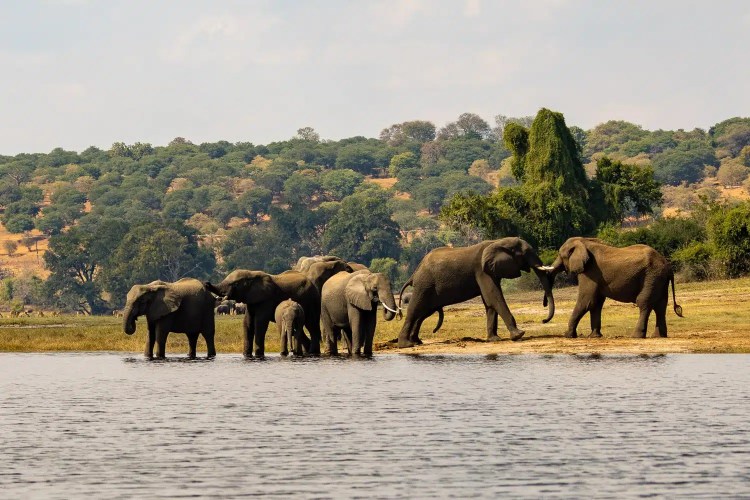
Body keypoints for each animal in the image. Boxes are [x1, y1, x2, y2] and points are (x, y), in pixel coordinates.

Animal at [397, 237, 555, 348]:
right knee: (415, 310)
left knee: (423, 313)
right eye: (525, 253)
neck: (497, 241)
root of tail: (414, 274)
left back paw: (417, 342)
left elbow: (489, 302)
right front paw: (519, 335)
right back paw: (406, 345)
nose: (543, 320)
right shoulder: (481, 271)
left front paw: (494, 339)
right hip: (424, 285)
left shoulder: (490, 271)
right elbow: (494, 297)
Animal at [543, 237, 683, 338]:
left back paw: (636, 336)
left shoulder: (590, 273)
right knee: (660, 306)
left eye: (560, 255)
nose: (544, 321)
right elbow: (596, 303)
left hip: (651, 277)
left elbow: (587, 301)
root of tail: (668, 267)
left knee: (644, 303)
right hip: (659, 280)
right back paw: (659, 336)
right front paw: (594, 336)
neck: (583, 241)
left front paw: (568, 336)